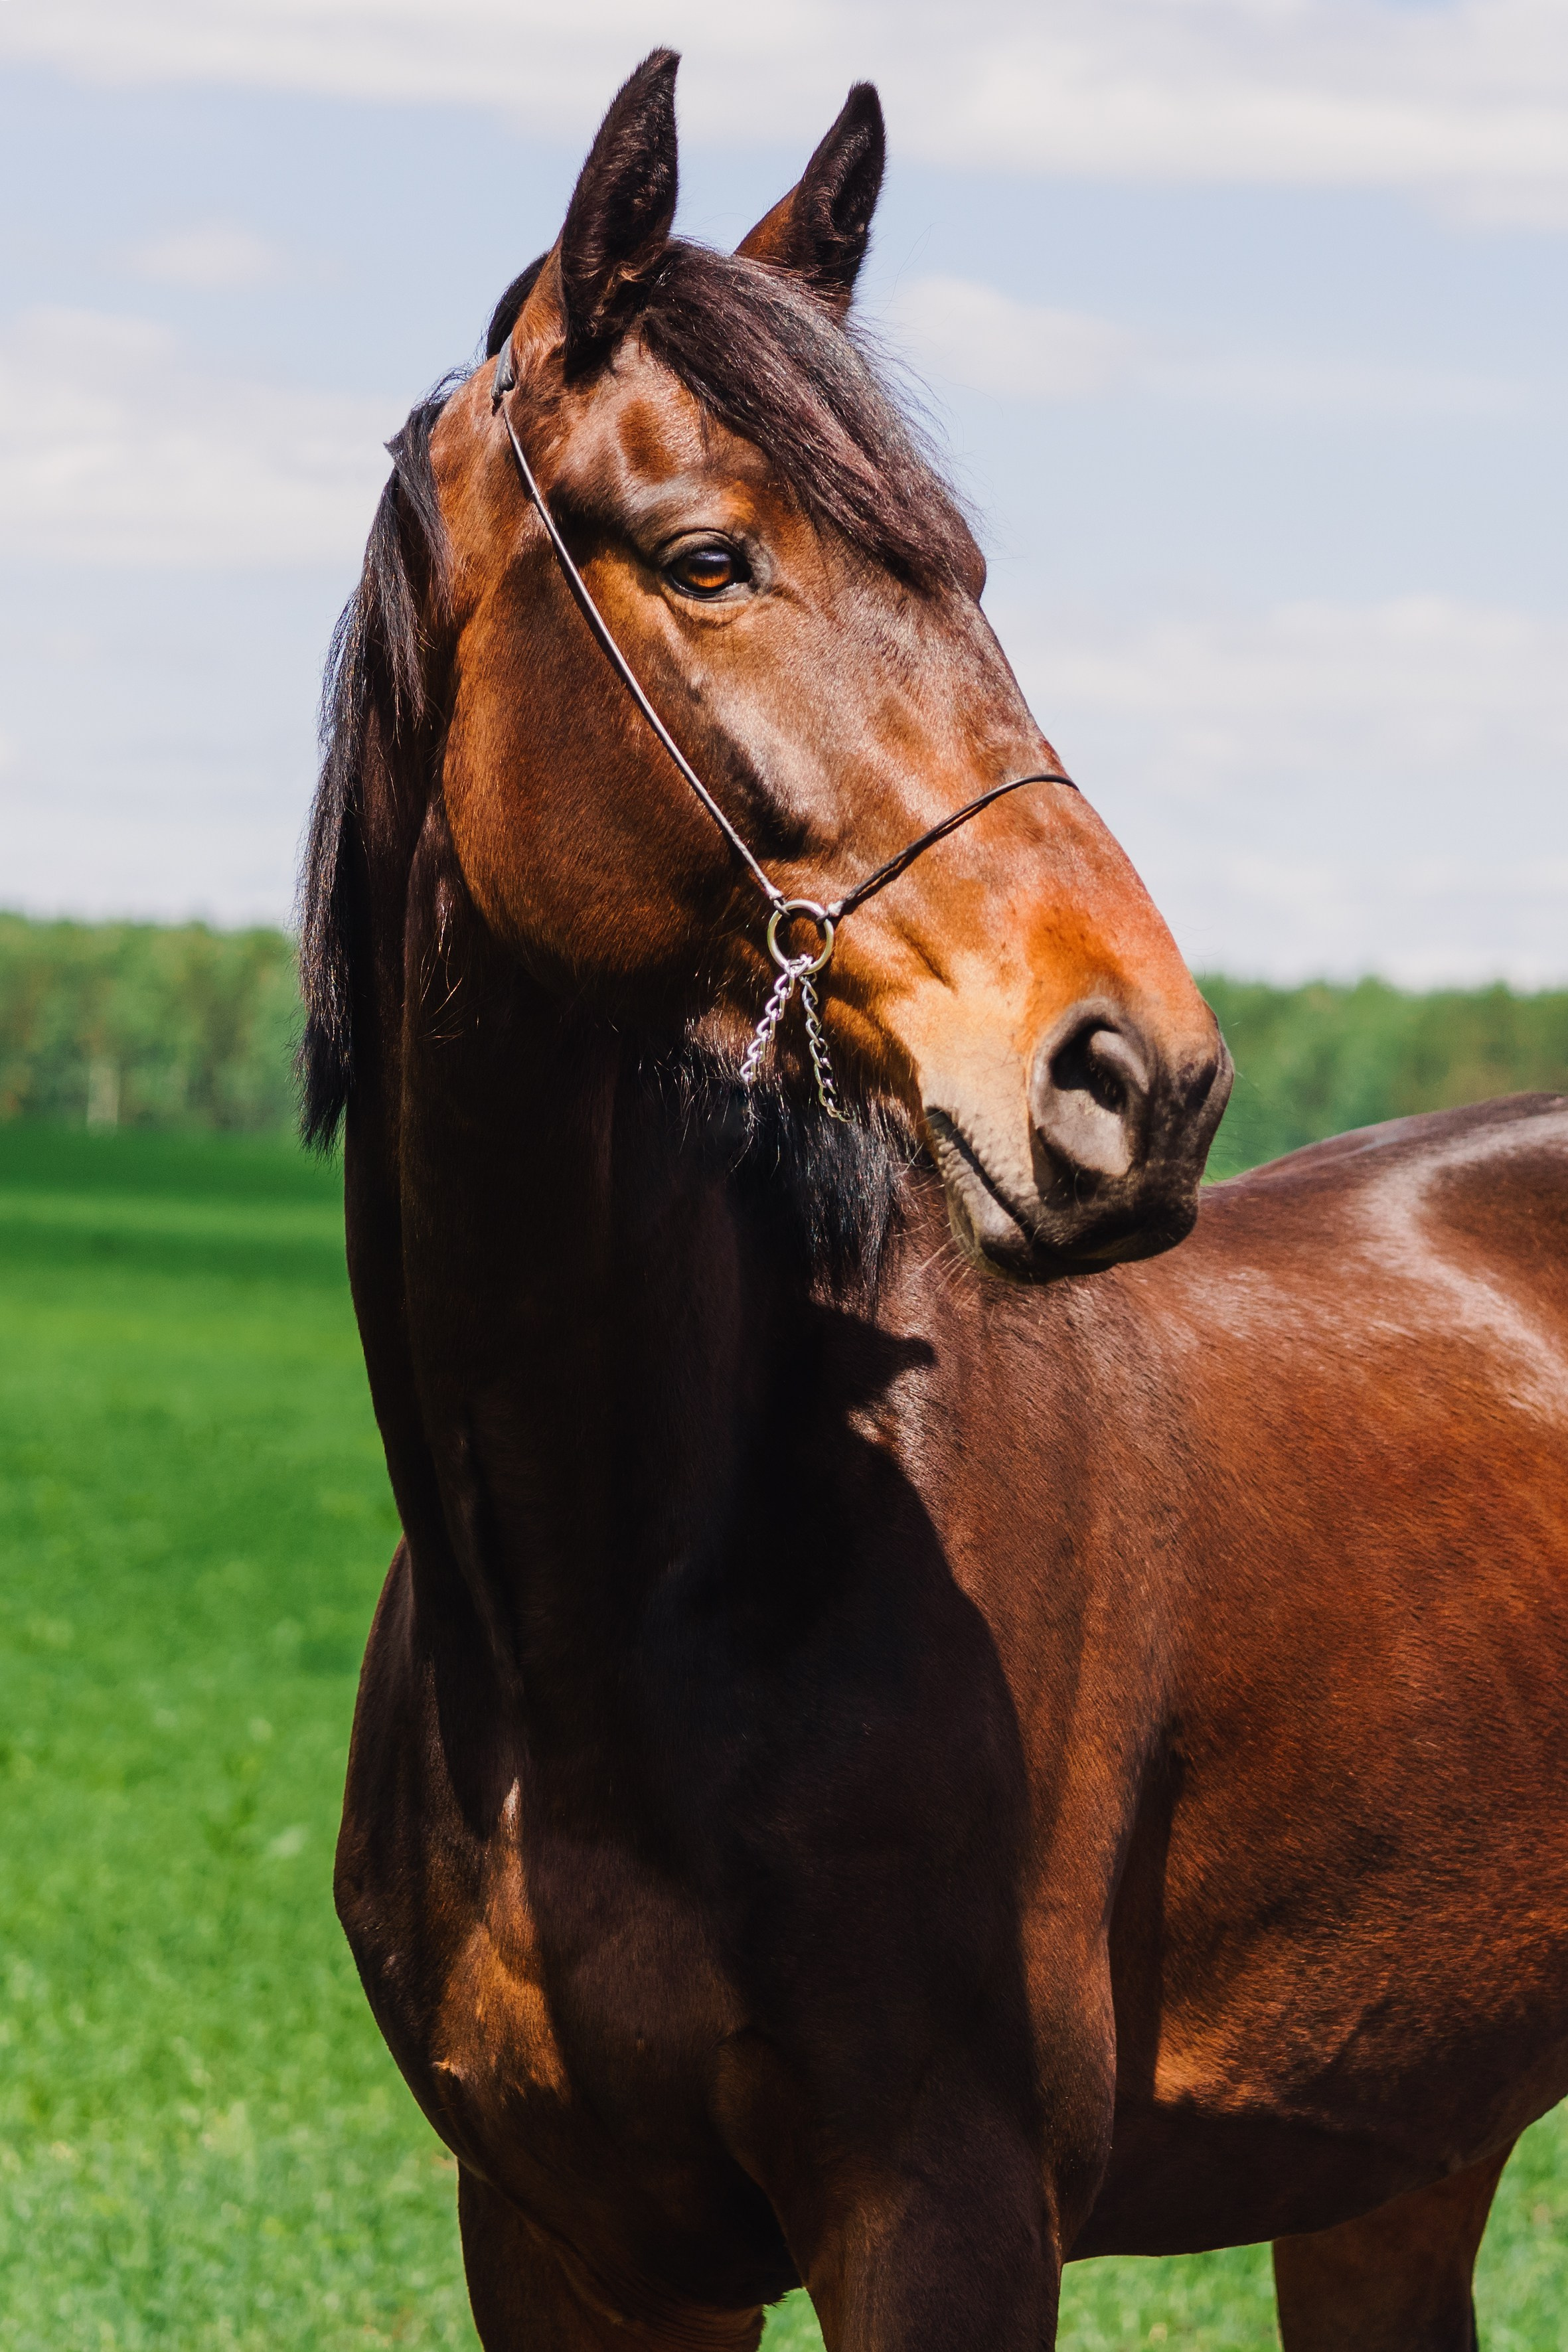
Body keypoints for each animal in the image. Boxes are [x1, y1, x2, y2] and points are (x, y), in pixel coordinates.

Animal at [302, 50, 1568, 2352]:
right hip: (1397, 2163)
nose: (1135, 1073)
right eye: (708, 557)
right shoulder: (560, 2239)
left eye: (967, 571)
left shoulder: (945, 2215)